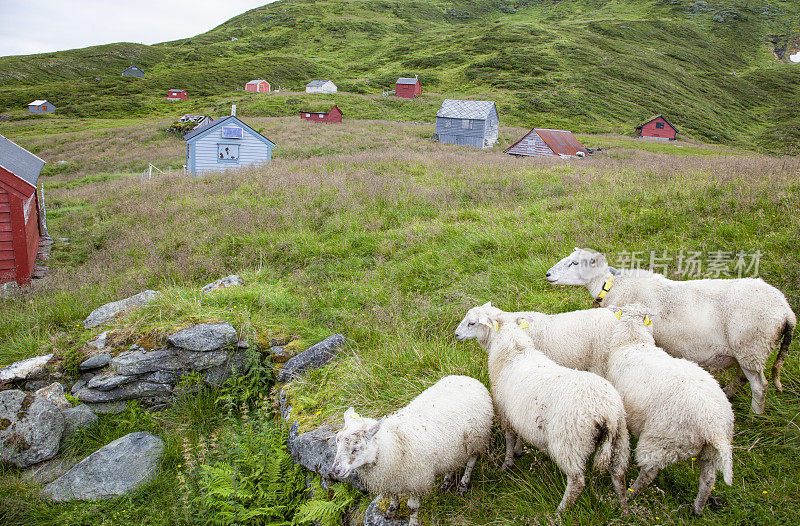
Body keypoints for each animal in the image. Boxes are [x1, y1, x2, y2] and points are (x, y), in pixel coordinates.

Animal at [330, 376, 494, 526]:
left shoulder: (416, 481)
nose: (335, 471)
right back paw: (447, 481)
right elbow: (393, 496)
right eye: (337, 443)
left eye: (356, 448)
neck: (393, 444)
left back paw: (463, 484)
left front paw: (413, 522)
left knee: (471, 462)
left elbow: (412, 508)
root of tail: (469, 379)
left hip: (476, 440)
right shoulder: (390, 479)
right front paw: (391, 510)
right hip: (453, 449)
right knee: (452, 463)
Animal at [454, 312, 628, 512]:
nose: (456, 335)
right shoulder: (520, 414)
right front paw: (518, 451)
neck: (516, 352)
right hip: (620, 438)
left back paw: (560, 511)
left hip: (569, 443)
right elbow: (519, 436)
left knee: (576, 481)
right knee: (619, 475)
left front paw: (507, 463)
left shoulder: (506, 414)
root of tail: (605, 410)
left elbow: (509, 438)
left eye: (472, 323)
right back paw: (624, 508)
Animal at [544, 249, 792, 416]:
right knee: (742, 378)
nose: (547, 274)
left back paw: (754, 416)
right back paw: (729, 396)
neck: (612, 286)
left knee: (759, 386)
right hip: (750, 351)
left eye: (574, 262)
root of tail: (786, 311)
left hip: (752, 344)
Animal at [604, 306, 736, 516]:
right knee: (708, 480)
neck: (634, 342)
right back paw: (697, 509)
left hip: (661, 443)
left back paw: (632, 493)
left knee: (649, 473)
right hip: (710, 452)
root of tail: (712, 427)